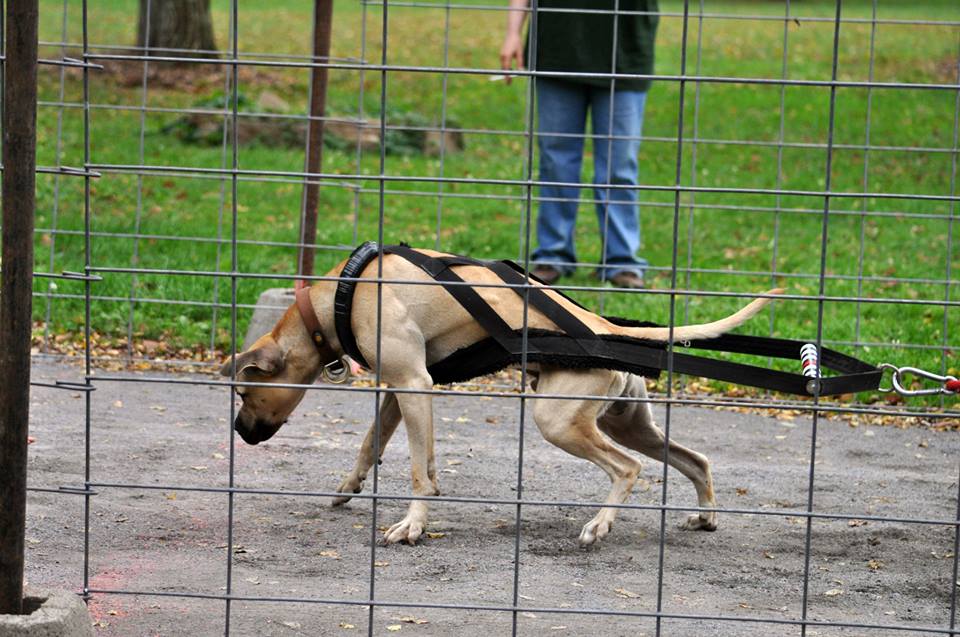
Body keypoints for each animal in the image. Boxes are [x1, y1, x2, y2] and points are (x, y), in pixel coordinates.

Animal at [219, 251, 780, 544]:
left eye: (244, 390)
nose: (238, 430)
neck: (342, 294)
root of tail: (606, 328)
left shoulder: (414, 383)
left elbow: (418, 473)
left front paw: (413, 524)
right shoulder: (400, 391)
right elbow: (374, 444)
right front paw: (351, 485)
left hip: (561, 422)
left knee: (628, 468)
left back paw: (600, 524)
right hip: (626, 422)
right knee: (695, 459)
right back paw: (705, 514)